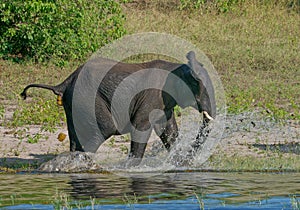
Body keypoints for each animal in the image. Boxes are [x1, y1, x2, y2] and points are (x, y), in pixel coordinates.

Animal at [21, 50, 216, 166]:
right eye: (200, 87)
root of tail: (65, 82)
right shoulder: (151, 97)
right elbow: (141, 127)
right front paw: (131, 167)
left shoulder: (163, 103)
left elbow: (168, 130)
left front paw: (178, 162)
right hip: (89, 100)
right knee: (101, 132)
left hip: (73, 104)